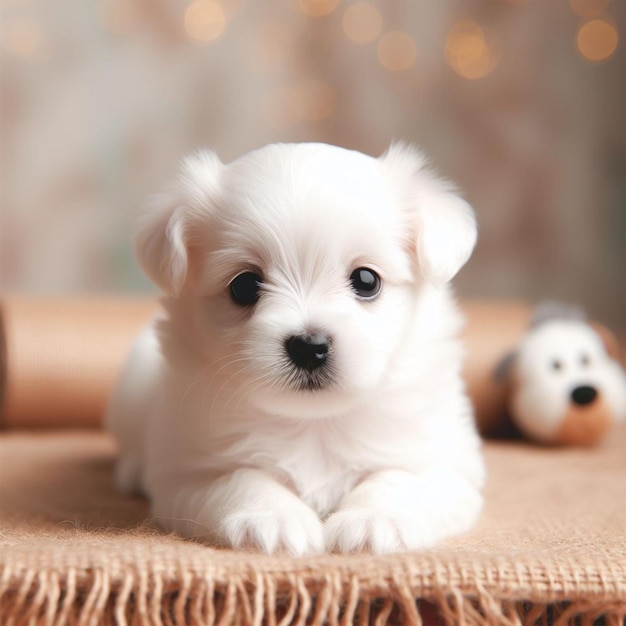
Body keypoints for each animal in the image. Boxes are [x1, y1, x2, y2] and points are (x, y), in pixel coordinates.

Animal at [106, 143, 482, 556]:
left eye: (367, 280)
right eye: (244, 286)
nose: (309, 346)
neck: (313, 422)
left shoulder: (445, 463)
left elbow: (401, 478)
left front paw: (374, 520)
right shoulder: (188, 473)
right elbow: (241, 478)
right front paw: (272, 518)